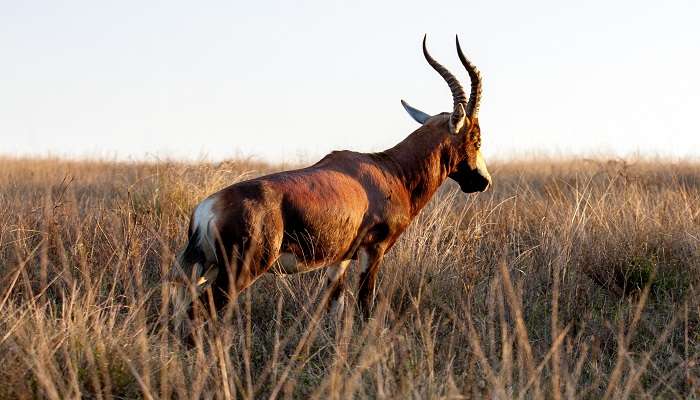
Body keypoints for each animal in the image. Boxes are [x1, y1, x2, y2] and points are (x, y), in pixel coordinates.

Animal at [170, 35, 492, 328]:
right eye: (475, 138)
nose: (483, 181)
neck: (388, 169)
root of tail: (207, 209)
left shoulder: (341, 259)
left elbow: (334, 306)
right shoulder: (373, 250)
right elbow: (364, 304)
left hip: (205, 267)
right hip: (240, 271)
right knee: (199, 311)